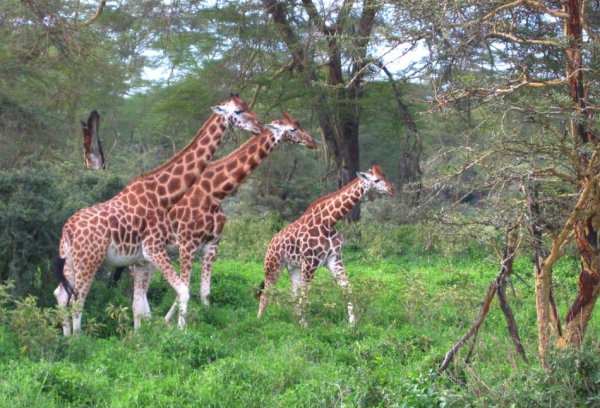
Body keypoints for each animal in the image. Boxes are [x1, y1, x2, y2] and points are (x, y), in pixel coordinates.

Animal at [55, 95, 262, 334]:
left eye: (246, 106)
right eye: (238, 111)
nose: (259, 126)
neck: (161, 195)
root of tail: (68, 229)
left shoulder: (143, 259)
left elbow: (139, 305)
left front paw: (139, 337)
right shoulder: (156, 248)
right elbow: (182, 291)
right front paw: (181, 332)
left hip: (70, 260)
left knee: (61, 294)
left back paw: (66, 336)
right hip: (89, 260)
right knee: (77, 300)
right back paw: (78, 339)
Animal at [130, 112, 318, 328]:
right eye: (293, 129)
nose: (313, 142)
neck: (215, 191)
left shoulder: (211, 245)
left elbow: (204, 291)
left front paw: (201, 319)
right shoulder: (187, 243)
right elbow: (184, 287)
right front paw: (176, 325)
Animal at [256, 163, 394, 326]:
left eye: (385, 175)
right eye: (376, 180)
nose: (392, 190)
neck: (329, 221)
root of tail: (271, 242)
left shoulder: (334, 259)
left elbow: (347, 289)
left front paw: (352, 324)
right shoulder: (310, 262)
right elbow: (306, 293)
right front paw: (305, 325)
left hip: (293, 267)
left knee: (293, 294)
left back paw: (294, 321)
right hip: (273, 265)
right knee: (266, 294)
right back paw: (258, 321)